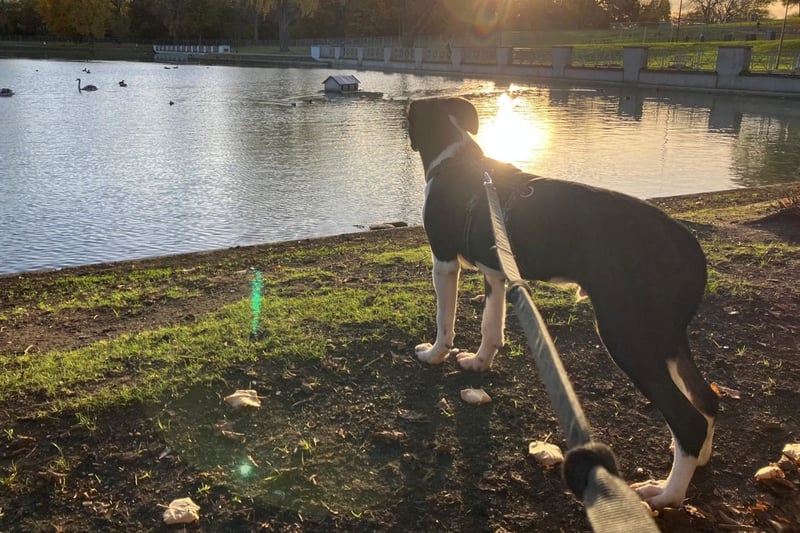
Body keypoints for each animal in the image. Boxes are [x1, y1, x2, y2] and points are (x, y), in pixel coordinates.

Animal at [407, 96, 718, 510]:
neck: (456, 160)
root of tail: (687, 244)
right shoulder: (497, 272)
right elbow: (491, 325)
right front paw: (479, 362)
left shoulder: (443, 261)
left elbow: (446, 320)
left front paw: (434, 354)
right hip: (665, 336)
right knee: (707, 398)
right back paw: (698, 458)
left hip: (626, 333)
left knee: (688, 418)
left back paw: (666, 493)